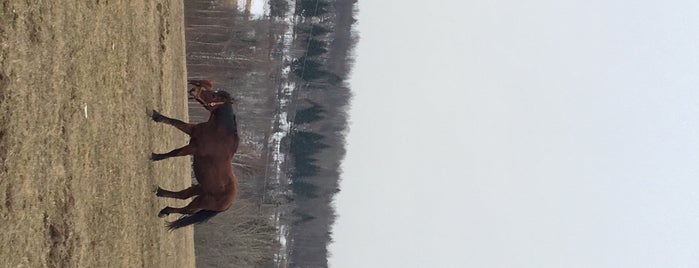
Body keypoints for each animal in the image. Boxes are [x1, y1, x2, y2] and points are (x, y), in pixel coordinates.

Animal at [149, 79, 239, 230]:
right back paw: (160, 193)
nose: (192, 91)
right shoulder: (192, 135)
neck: (218, 134)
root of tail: (228, 204)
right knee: (182, 195)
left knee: (186, 209)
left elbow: (174, 150)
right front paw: (157, 116)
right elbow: (175, 122)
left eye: (214, 96)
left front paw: (156, 156)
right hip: (199, 189)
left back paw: (165, 210)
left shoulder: (192, 148)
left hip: (200, 200)